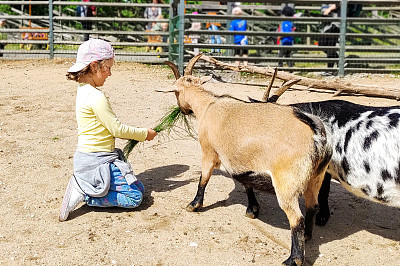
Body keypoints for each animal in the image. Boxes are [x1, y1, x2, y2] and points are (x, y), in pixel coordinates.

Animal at [166, 54, 332, 266]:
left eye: (176, 92)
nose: (183, 111)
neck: (209, 106)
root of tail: (316, 133)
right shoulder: (243, 163)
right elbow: (247, 185)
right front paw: (252, 209)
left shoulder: (209, 151)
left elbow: (204, 179)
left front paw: (193, 205)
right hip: (316, 177)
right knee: (312, 207)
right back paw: (308, 237)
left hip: (286, 182)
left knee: (297, 218)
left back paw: (293, 259)